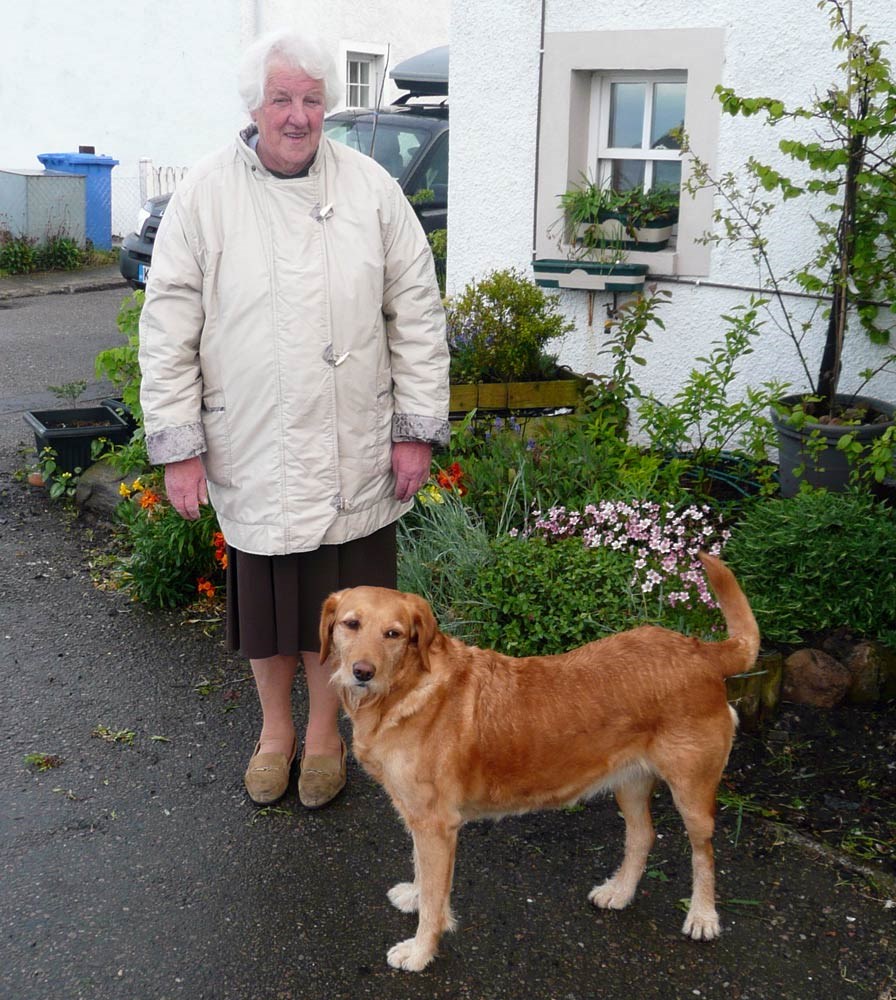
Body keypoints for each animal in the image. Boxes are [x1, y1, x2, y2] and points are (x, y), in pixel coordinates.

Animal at [318, 552, 760, 972]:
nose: (362, 672)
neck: (406, 688)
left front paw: (421, 950)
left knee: (703, 853)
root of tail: (701, 651)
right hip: (629, 783)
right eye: (351, 624)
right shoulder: (420, 819)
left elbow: (434, 897)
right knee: (642, 836)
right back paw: (620, 891)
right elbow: (424, 875)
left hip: (692, 793)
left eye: (393, 634)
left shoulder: (436, 824)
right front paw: (414, 894)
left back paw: (703, 915)